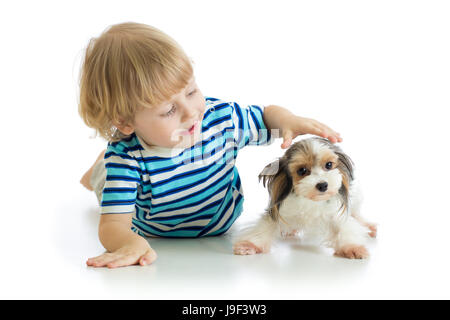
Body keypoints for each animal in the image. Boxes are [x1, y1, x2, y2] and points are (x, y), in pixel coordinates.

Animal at [232, 138, 376, 260]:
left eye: (329, 165)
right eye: (302, 170)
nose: (322, 185)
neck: (311, 201)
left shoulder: (336, 214)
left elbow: (345, 228)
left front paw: (353, 248)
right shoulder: (281, 211)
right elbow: (265, 226)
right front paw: (250, 245)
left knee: (356, 215)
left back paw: (369, 226)